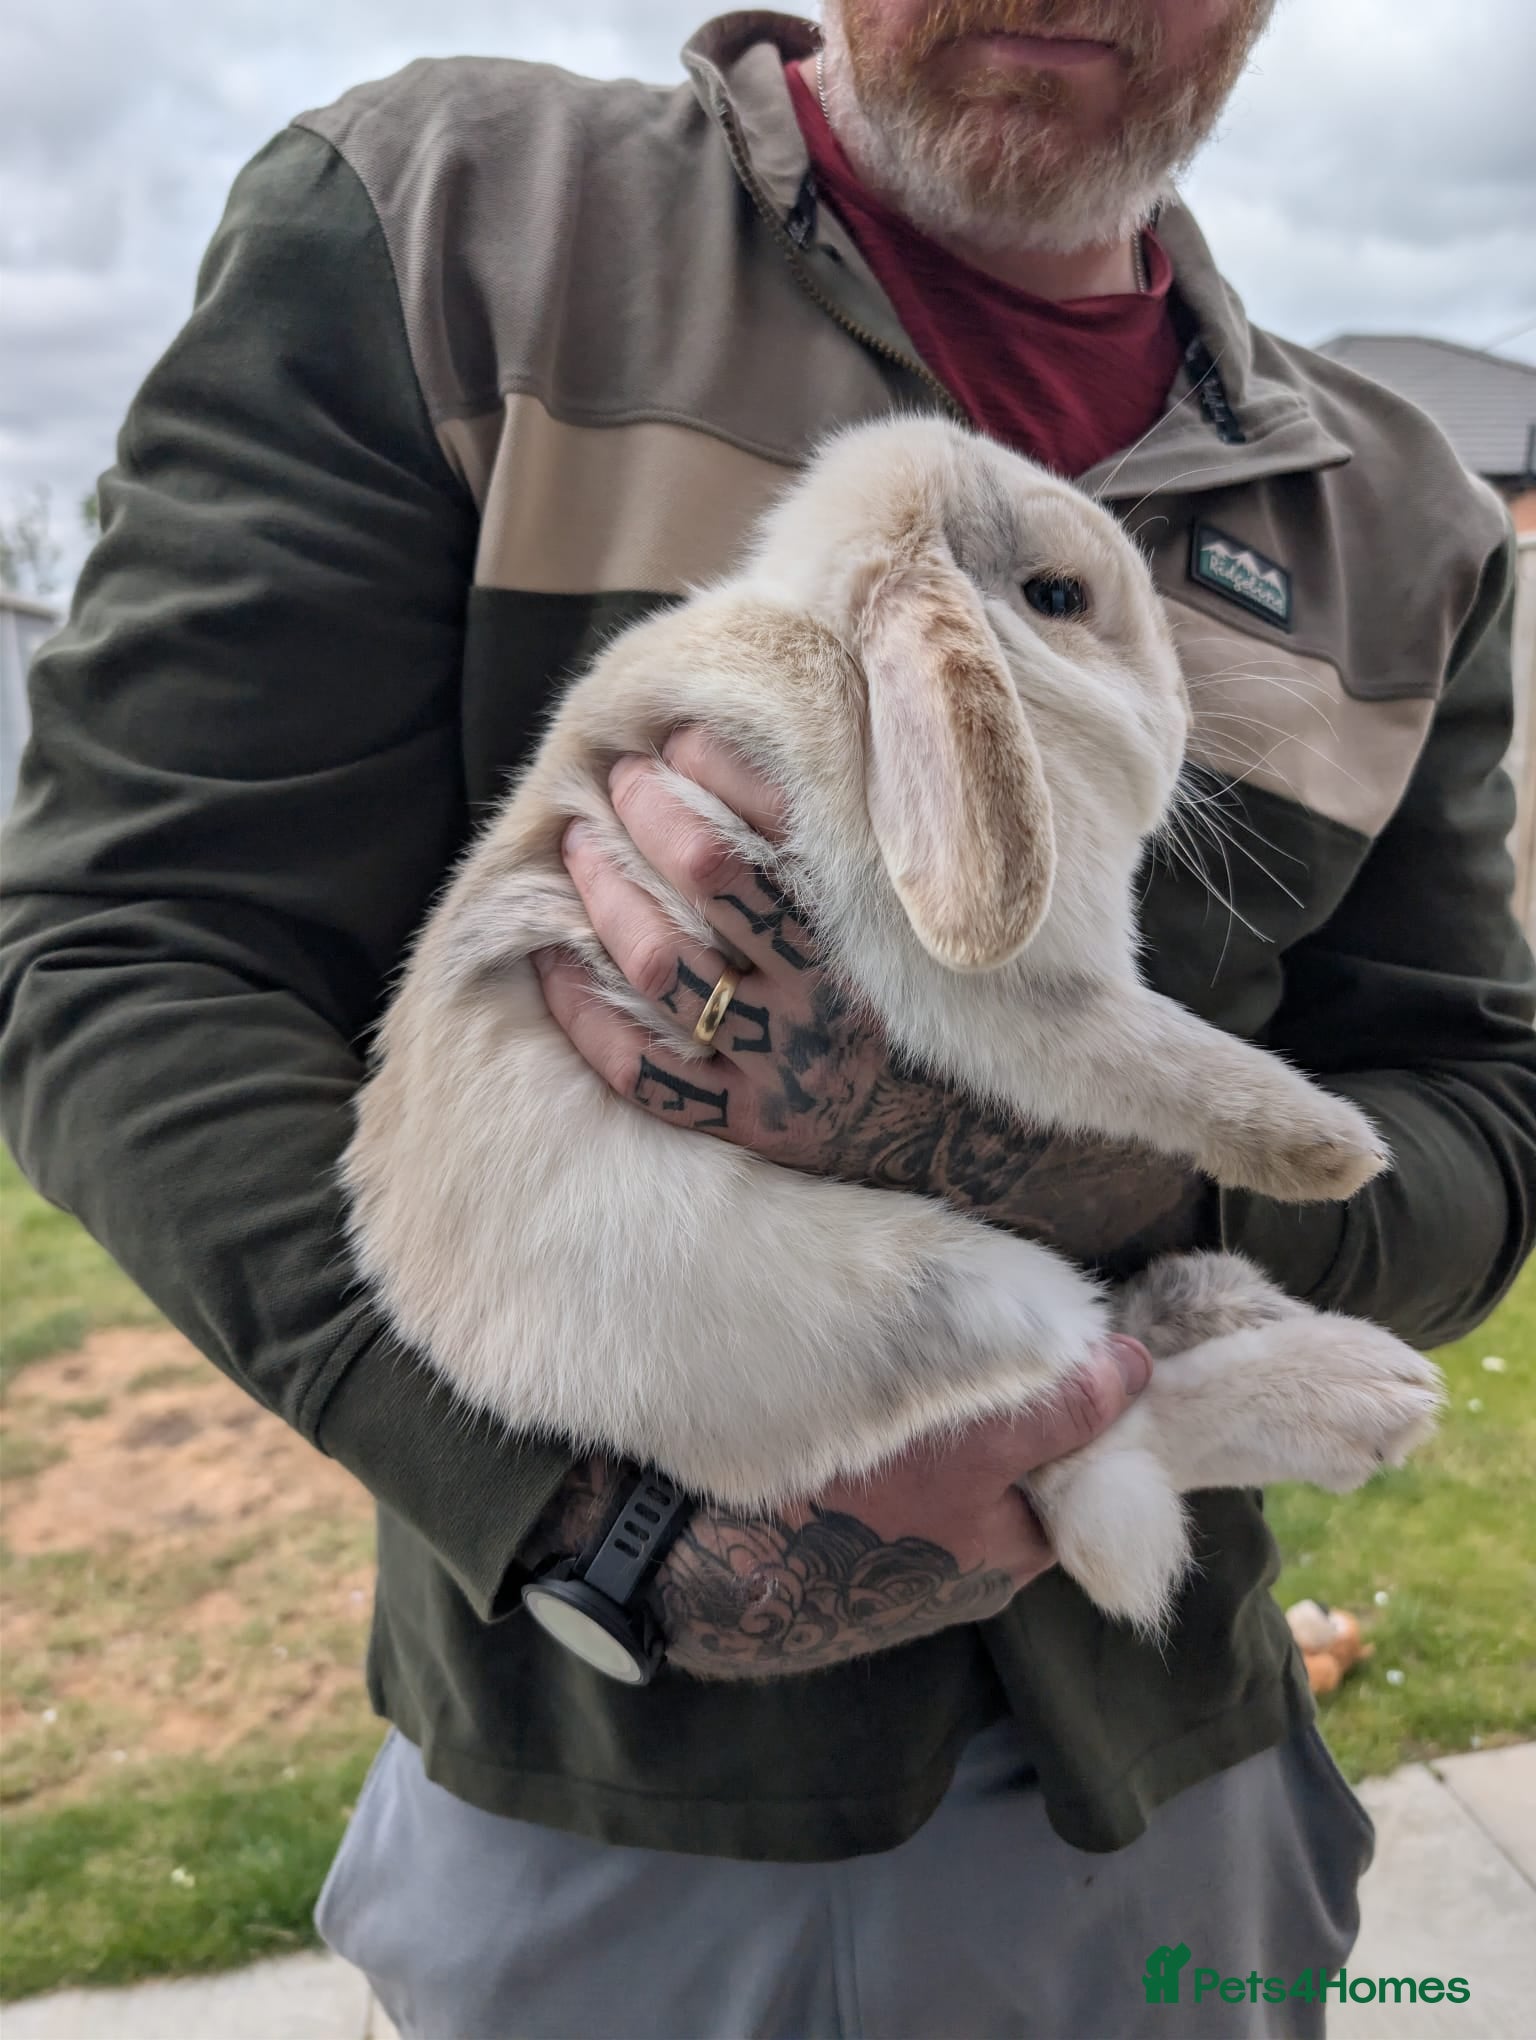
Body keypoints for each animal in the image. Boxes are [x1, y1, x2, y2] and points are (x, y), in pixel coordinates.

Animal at [343, 415, 1442, 1634]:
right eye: (1058, 596)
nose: (1184, 724)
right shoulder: (1013, 1005)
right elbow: (1162, 1058)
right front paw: (1335, 1150)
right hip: (972, 1303)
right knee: (1112, 1438)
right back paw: (1366, 1394)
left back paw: (1220, 1301)